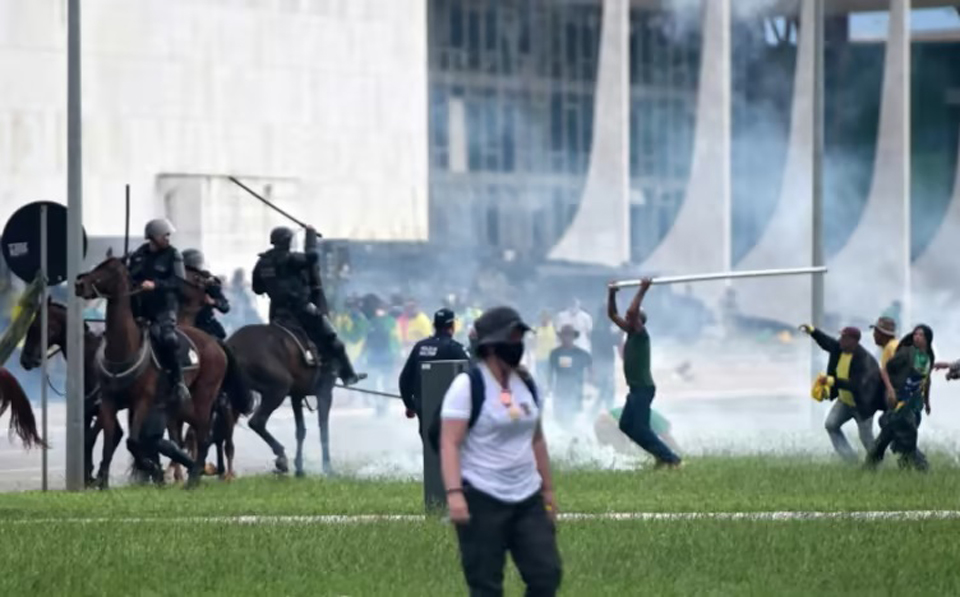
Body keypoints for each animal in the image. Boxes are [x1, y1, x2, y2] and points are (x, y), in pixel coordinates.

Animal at [74, 258, 226, 488]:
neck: (123, 349)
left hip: (202, 398)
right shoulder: (109, 402)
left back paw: (193, 477)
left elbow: (132, 441)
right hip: (181, 407)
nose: (79, 284)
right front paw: (103, 482)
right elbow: (110, 441)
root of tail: (216, 346)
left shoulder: (142, 401)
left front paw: (152, 468)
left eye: (108, 269)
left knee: (202, 436)